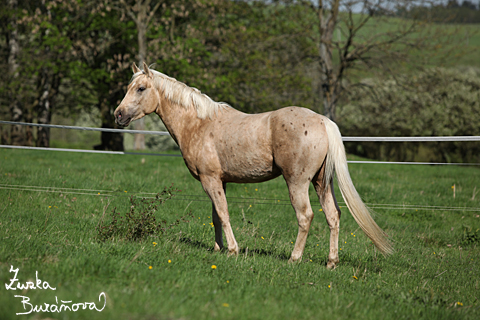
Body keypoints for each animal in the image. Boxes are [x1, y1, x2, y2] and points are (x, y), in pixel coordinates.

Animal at [114, 62, 392, 268]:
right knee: (333, 216)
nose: (118, 114)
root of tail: (323, 121)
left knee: (305, 216)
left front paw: (232, 250)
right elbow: (216, 216)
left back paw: (294, 259)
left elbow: (224, 214)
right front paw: (218, 249)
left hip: (297, 182)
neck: (199, 123)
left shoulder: (209, 179)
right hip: (321, 182)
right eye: (130, 87)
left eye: (141, 88)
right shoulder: (219, 181)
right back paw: (331, 262)